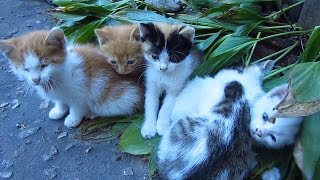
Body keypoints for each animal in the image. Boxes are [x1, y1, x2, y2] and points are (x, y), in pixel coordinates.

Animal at [0, 27, 142, 128]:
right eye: (25, 69)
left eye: (44, 65)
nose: (36, 80)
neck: (56, 78)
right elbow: (60, 101)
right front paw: (58, 110)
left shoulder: (81, 91)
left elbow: (77, 107)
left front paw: (72, 119)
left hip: (119, 100)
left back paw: (92, 112)